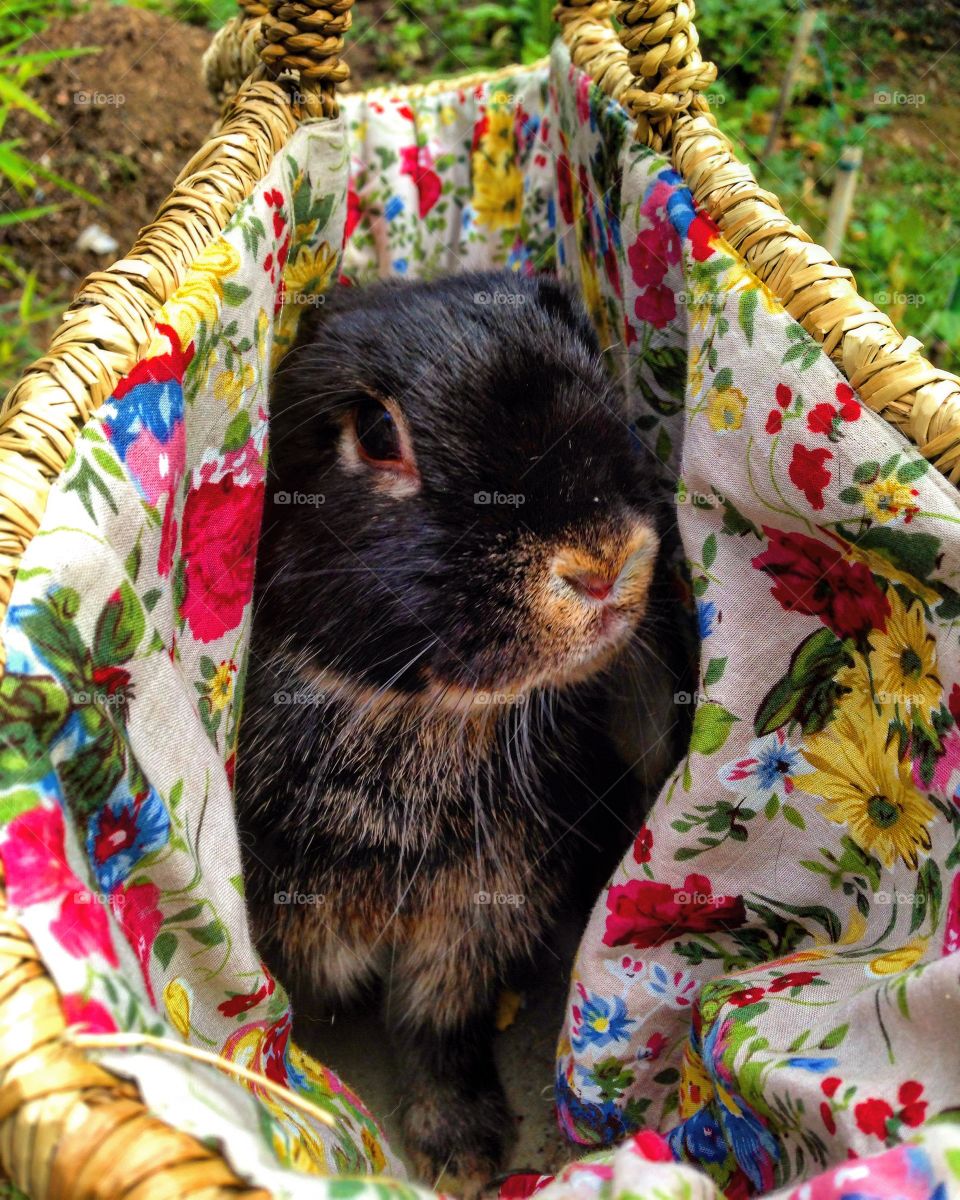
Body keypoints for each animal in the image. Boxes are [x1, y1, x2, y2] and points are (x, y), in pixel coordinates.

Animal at [235, 270, 689, 1195]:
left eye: (598, 380)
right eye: (376, 433)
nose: (606, 563)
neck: (410, 714)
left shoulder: (466, 934)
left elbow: (440, 1031)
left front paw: (464, 1153)